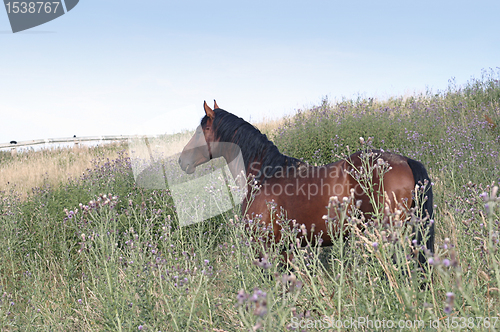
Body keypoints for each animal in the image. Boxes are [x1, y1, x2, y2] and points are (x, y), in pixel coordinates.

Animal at [179, 100, 434, 268]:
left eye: (201, 130)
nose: (182, 161)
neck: (265, 174)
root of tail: (404, 160)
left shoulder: (267, 247)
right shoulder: (289, 248)